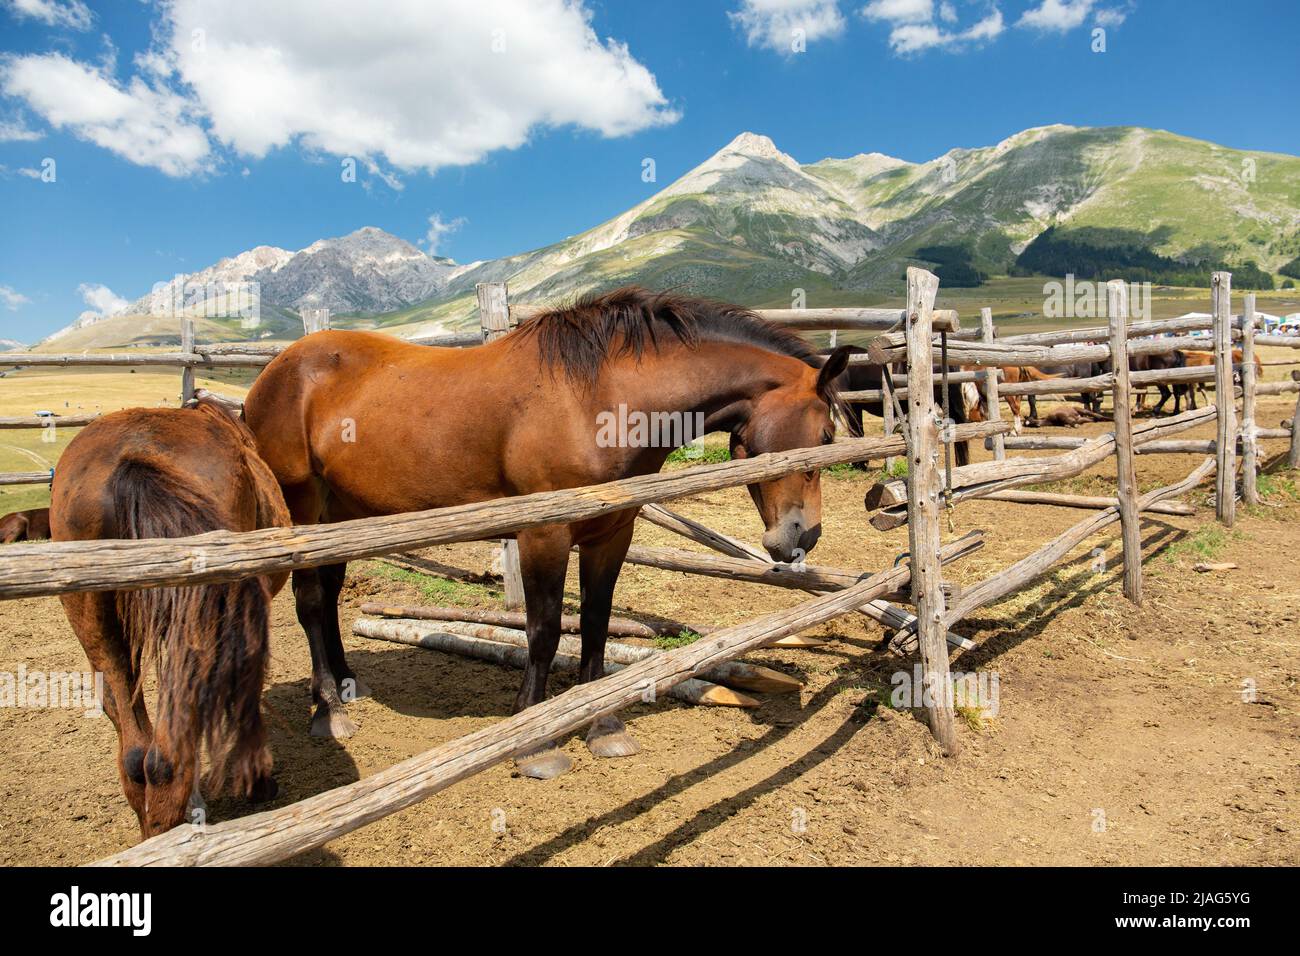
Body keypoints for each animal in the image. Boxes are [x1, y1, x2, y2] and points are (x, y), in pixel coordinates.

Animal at [243, 287, 853, 778]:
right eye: (824, 435)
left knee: (329, 592)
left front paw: (604, 726)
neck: (598, 398)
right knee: (311, 601)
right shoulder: (545, 535)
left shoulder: (612, 534)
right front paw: (536, 741)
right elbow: (543, 631)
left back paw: (348, 683)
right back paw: (328, 710)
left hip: (344, 516)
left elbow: (596, 624)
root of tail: (275, 372)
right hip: (304, 513)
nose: (801, 537)